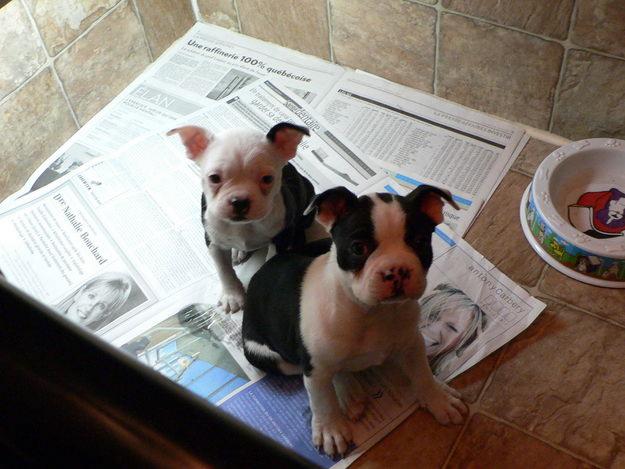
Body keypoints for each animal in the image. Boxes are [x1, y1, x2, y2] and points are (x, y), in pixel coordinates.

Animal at [167, 122, 312, 312]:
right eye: (214, 178)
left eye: (267, 179)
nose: (240, 201)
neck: (245, 225)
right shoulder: (214, 242)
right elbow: (224, 270)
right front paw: (232, 296)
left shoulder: (282, 237)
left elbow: (270, 263)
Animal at [241, 185, 466, 456]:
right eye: (358, 248)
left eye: (420, 242)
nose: (397, 270)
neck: (370, 312)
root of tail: (262, 269)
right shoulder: (314, 367)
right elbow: (322, 400)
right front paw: (330, 430)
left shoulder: (412, 343)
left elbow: (422, 373)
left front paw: (437, 399)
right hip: (269, 357)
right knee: (323, 371)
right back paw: (348, 392)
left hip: (323, 245)